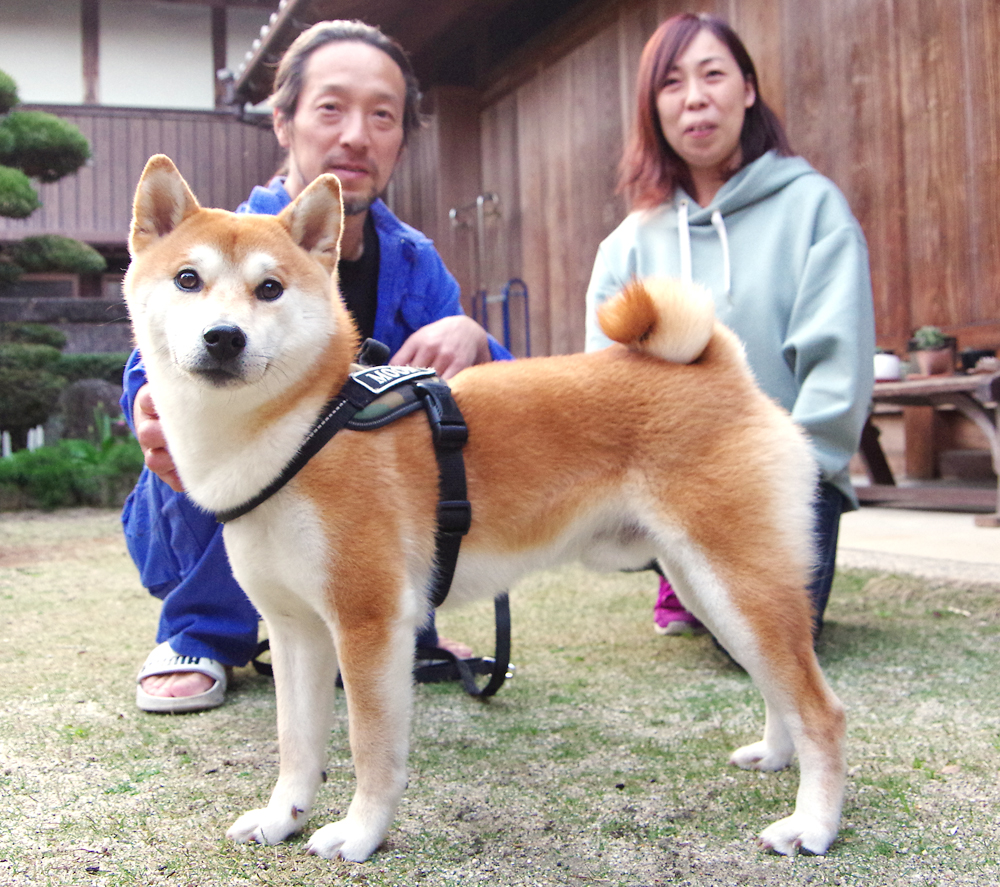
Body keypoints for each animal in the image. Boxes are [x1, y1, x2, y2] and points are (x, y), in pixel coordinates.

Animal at [123, 156, 844, 864]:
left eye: (269, 288)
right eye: (188, 279)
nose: (224, 337)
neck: (304, 426)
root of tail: (722, 369)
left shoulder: (368, 622)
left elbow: (370, 749)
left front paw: (359, 835)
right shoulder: (297, 629)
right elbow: (297, 747)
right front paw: (282, 819)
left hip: (736, 582)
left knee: (822, 710)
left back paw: (812, 826)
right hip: (709, 588)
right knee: (779, 686)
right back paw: (776, 756)